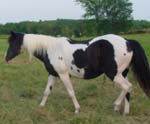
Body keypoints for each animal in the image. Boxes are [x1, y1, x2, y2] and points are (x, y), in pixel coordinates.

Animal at [4, 31, 150, 115]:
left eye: (12, 42)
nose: (6, 58)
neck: (51, 49)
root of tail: (127, 41)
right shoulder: (53, 74)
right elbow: (47, 91)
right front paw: (41, 107)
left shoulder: (63, 75)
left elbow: (70, 92)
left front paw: (77, 109)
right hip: (123, 73)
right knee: (128, 91)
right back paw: (124, 112)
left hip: (114, 73)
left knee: (127, 87)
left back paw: (116, 106)